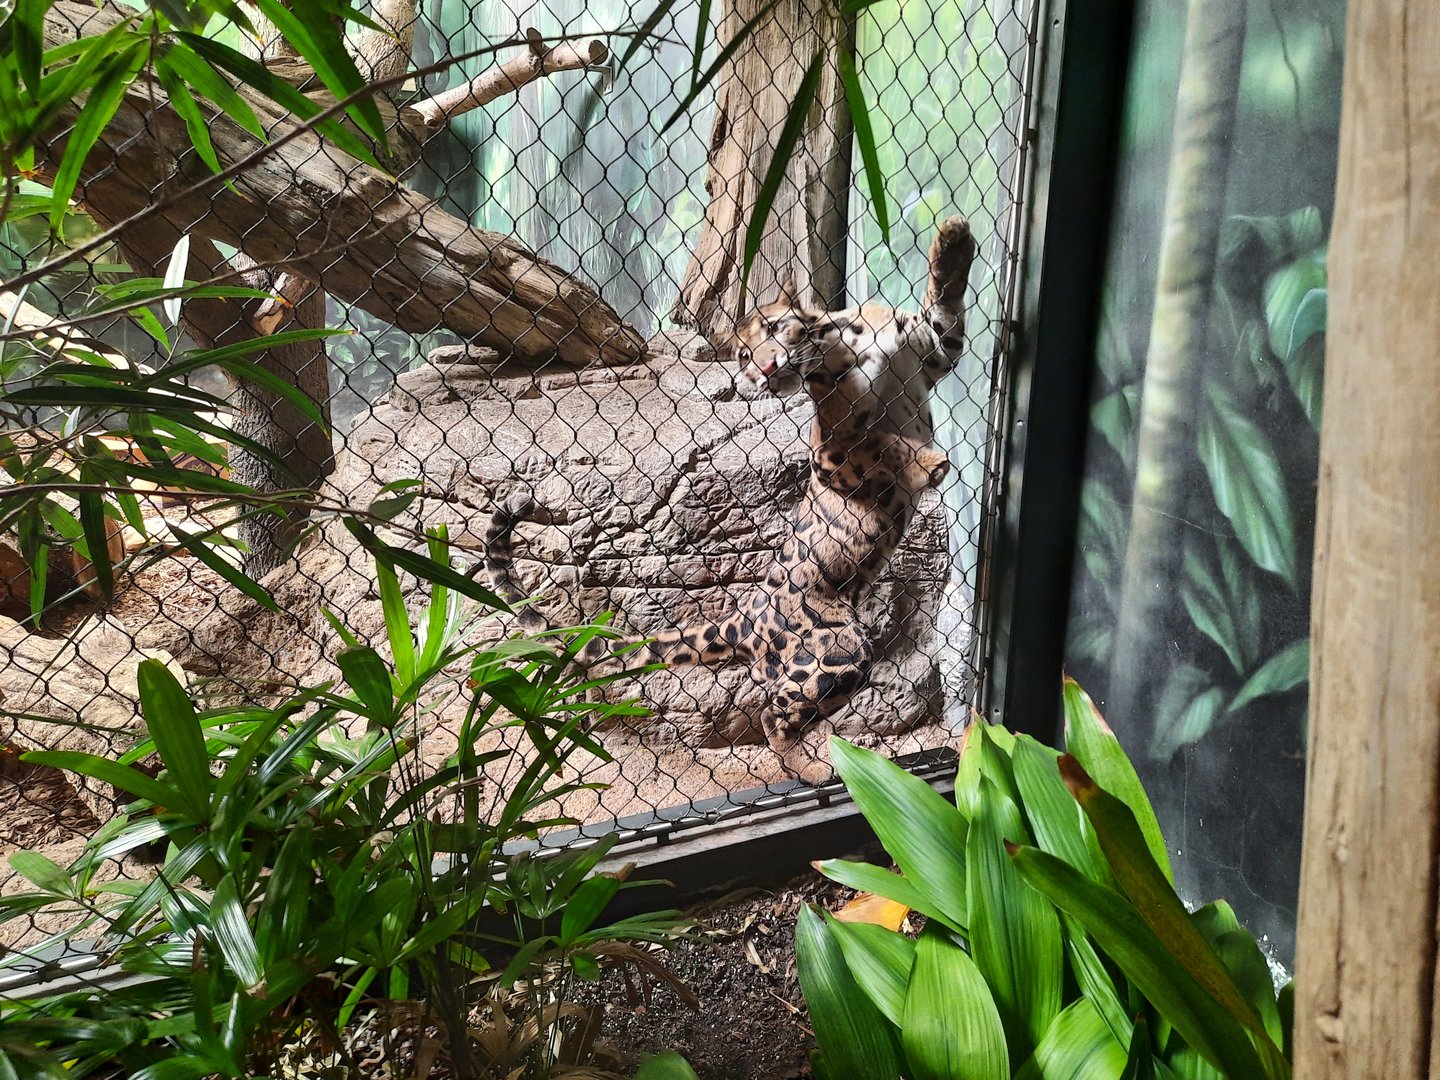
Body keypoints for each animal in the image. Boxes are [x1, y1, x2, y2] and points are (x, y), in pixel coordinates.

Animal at [481, 215, 976, 759]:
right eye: (743, 354)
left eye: (775, 328)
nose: (764, 370)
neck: (847, 341)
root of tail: (746, 616)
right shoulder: (829, 454)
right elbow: (881, 442)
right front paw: (928, 461)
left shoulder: (934, 352)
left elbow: (944, 307)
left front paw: (954, 240)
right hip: (836, 649)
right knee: (774, 715)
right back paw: (814, 765)